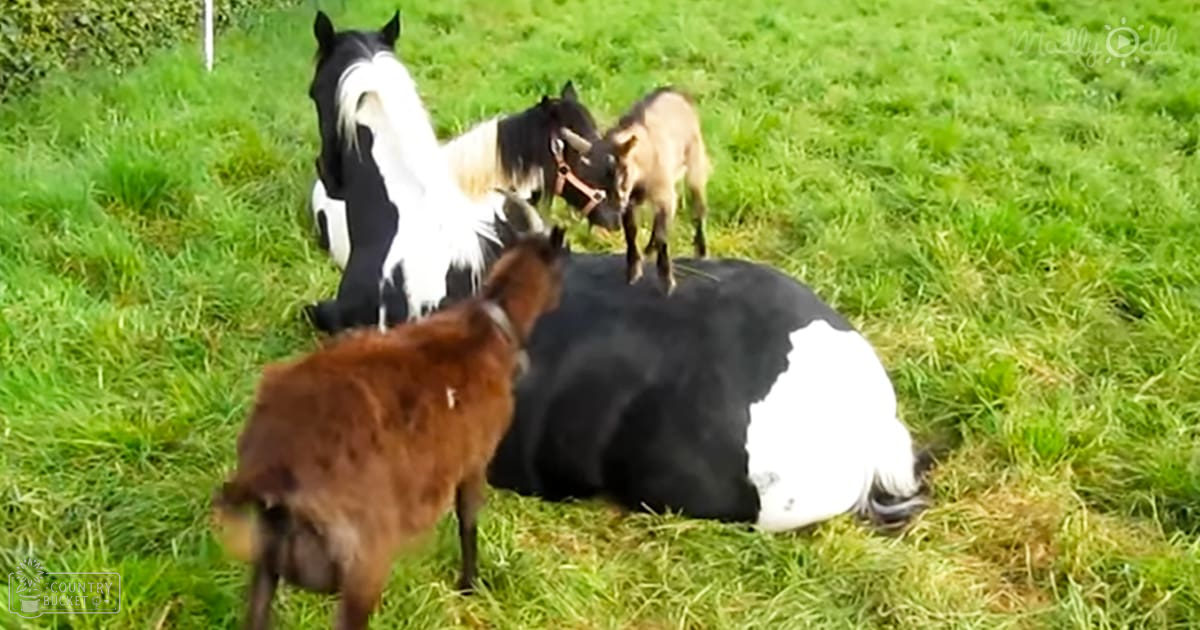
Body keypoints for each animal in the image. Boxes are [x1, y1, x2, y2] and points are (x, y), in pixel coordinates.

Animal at [211, 226, 570, 629]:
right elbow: (468, 521)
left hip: (268, 563)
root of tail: (271, 476)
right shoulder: (475, 459)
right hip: (363, 567)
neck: (489, 326)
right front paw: (469, 585)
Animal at [558, 87, 711, 293]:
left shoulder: (663, 194)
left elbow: (662, 235)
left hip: (695, 161)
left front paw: (666, 281)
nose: (609, 219)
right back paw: (649, 248)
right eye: (589, 180)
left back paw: (701, 250)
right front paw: (633, 271)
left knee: (698, 206)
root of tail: (676, 92)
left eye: (621, 173)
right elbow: (631, 231)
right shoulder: (629, 203)